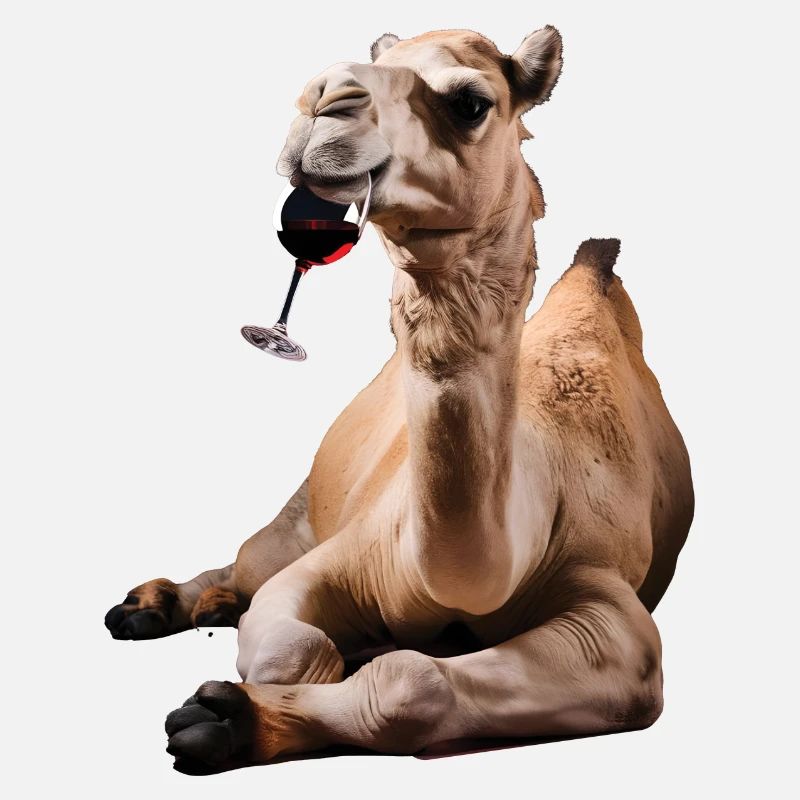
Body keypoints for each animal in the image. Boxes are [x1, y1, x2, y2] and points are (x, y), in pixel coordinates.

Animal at [105, 26, 694, 771]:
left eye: (470, 102)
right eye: (376, 62)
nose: (323, 100)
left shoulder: (615, 617)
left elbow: (411, 681)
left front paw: (224, 717)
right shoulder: (351, 554)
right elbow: (297, 646)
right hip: (298, 516)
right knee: (249, 558)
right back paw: (155, 605)